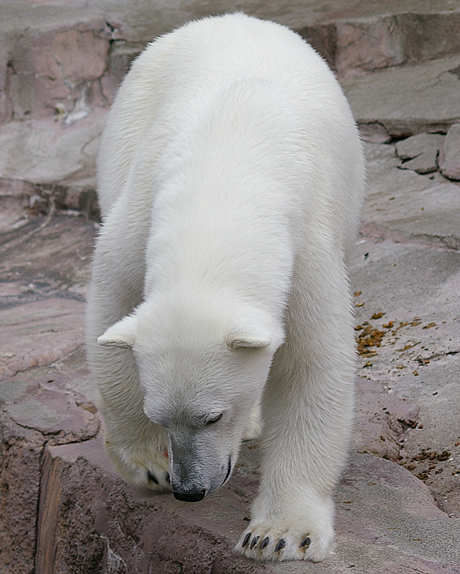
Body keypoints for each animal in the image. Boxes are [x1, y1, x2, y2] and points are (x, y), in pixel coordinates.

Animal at [86, 12, 364, 564]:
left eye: (213, 417)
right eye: (158, 414)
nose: (190, 489)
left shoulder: (307, 242)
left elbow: (310, 365)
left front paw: (279, 534)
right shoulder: (142, 210)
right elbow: (113, 307)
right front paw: (149, 462)